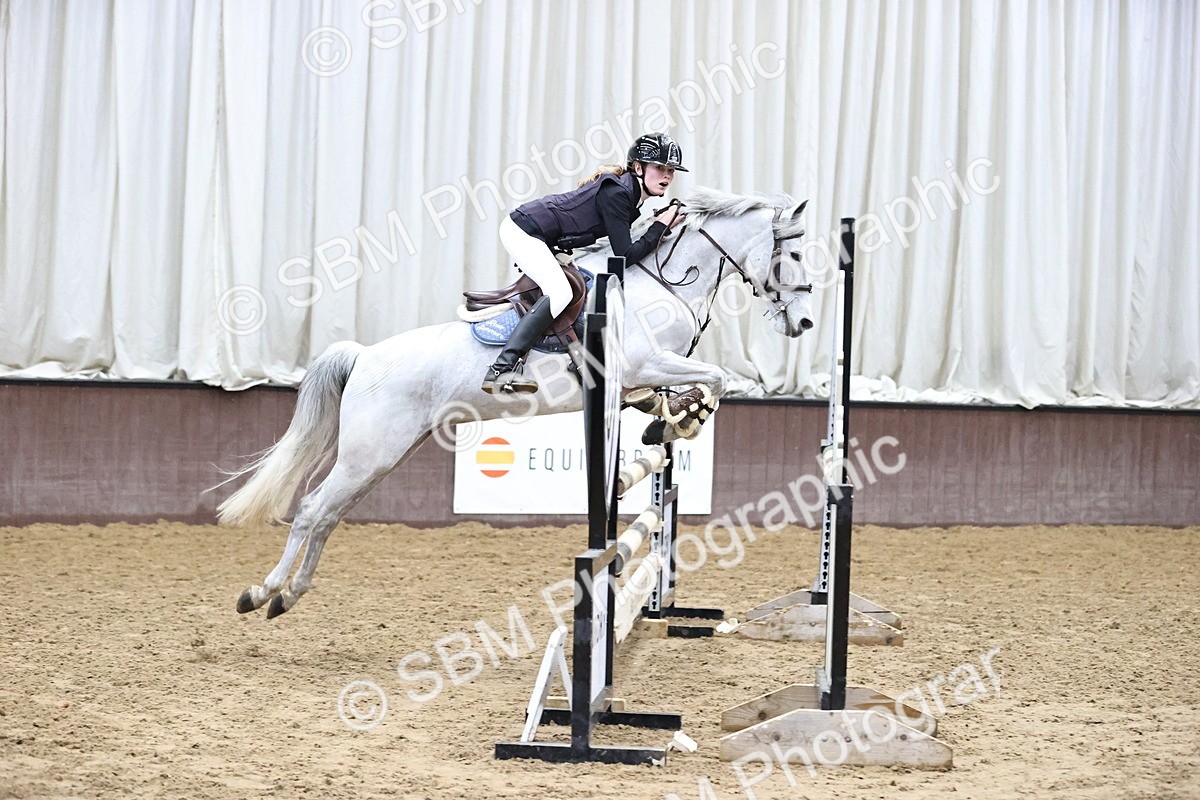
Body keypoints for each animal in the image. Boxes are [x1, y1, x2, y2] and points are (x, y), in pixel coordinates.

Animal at [219, 187, 817, 618]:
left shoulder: (637, 381)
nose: (806, 323)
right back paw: (261, 592)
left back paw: (287, 596)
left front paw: (669, 422)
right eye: (792, 252)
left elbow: (690, 391)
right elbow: (716, 378)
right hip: (370, 452)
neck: (667, 282)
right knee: (312, 510)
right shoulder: (643, 365)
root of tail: (364, 355)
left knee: (328, 514)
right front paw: (682, 419)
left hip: (383, 455)